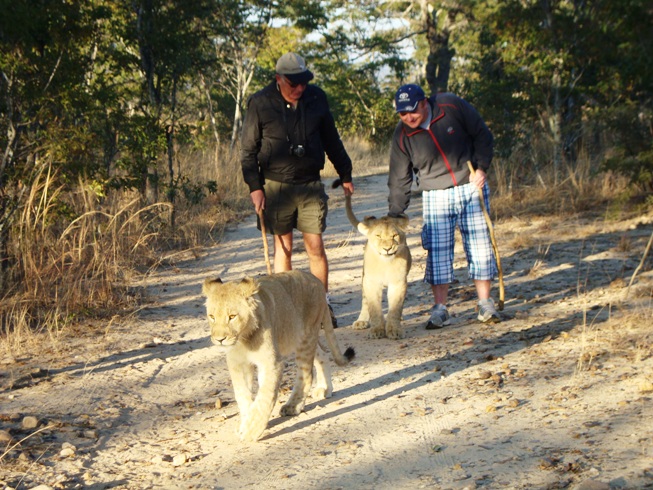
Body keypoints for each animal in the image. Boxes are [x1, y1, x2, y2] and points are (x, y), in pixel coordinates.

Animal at [201, 270, 354, 442]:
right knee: (323, 354)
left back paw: (292, 406)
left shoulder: (271, 362)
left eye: (232, 316)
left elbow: (264, 397)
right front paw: (245, 421)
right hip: (302, 338)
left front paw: (250, 431)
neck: (243, 339)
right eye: (212, 316)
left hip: (306, 337)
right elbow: (242, 394)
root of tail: (316, 280)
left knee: (306, 375)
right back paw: (324, 388)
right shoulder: (238, 363)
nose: (219, 340)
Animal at [336, 181, 412, 340]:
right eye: (378, 236)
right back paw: (361, 321)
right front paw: (377, 330)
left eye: (394, 236)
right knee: (365, 301)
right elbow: (374, 308)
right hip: (364, 278)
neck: (385, 262)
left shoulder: (398, 282)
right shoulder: (371, 282)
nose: (387, 248)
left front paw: (394, 330)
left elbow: (395, 308)